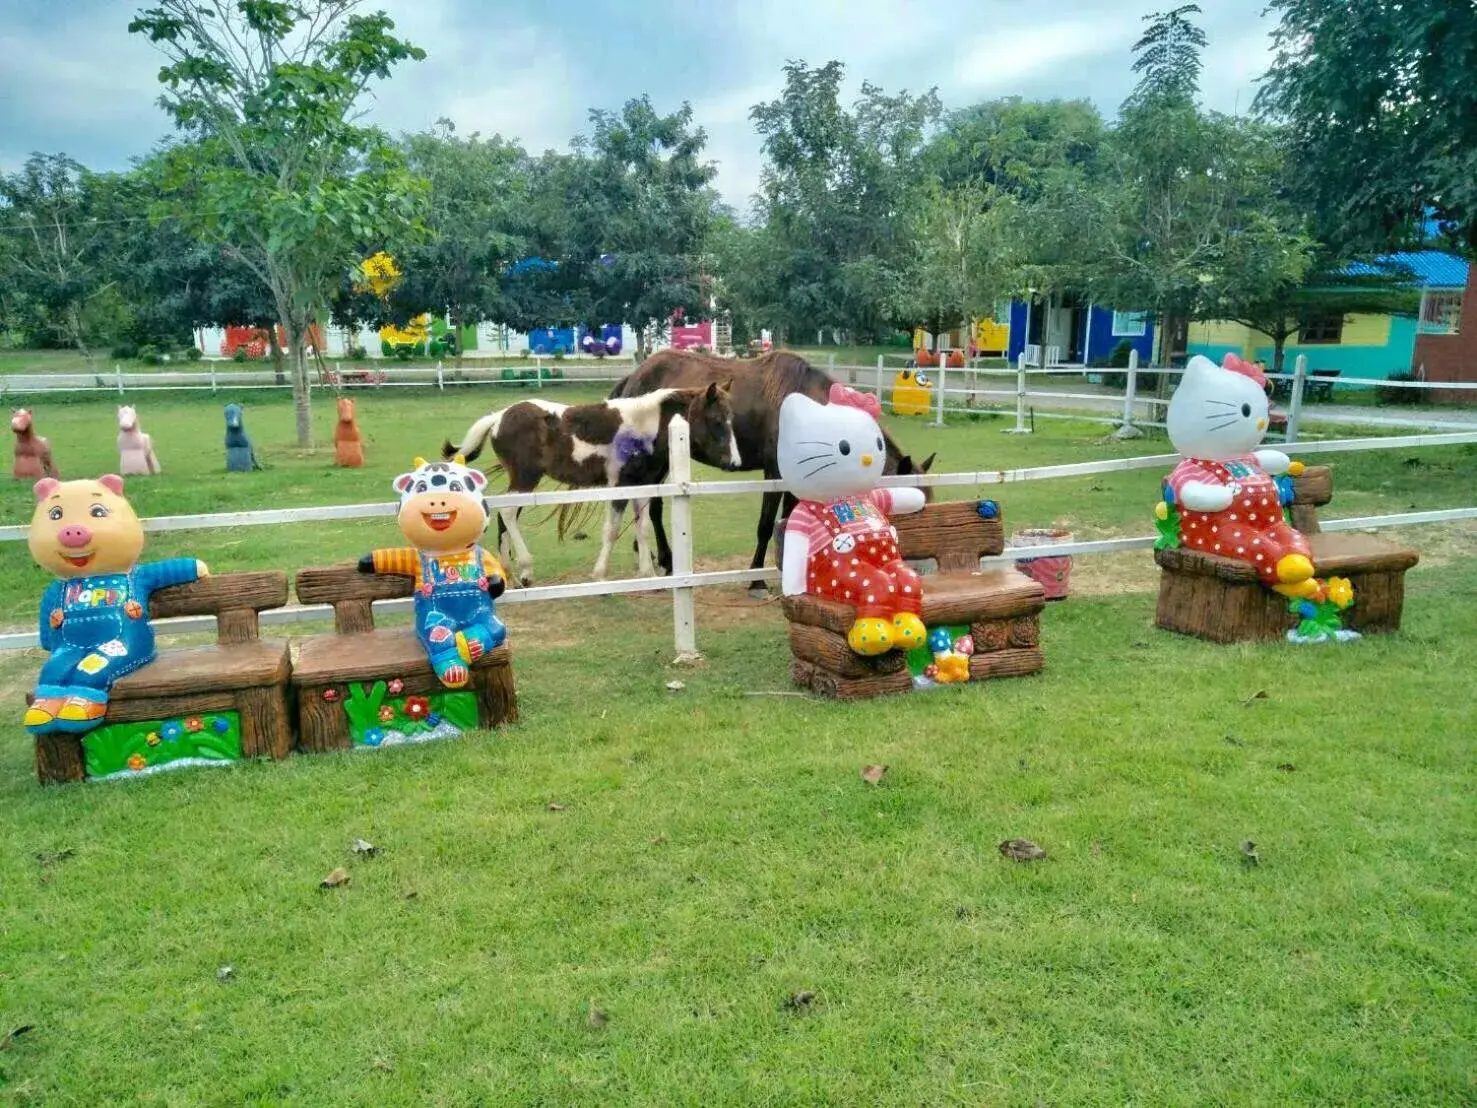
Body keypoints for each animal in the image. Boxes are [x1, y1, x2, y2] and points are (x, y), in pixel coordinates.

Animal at [437, 384, 738, 585]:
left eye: (730, 419)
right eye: (716, 420)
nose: (733, 462)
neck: (643, 427)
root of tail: (499, 417)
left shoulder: (640, 487)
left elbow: (642, 530)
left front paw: (648, 574)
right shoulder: (619, 487)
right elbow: (612, 531)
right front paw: (600, 575)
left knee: (504, 515)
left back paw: (509, 572)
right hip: (525, 479)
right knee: (509, 513)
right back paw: (526, 570)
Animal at [602, 348, 933, 593]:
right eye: (910, 509)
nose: (922, 571)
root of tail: (635, 375)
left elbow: (787, 522)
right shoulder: (774, 473)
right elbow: (765, 525)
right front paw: (757, 580)